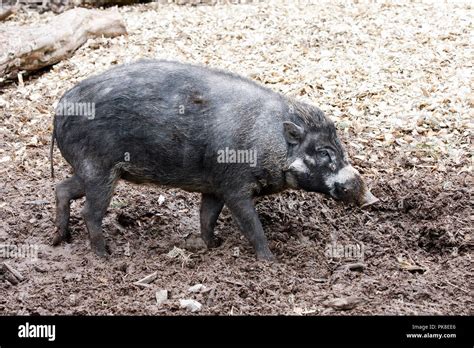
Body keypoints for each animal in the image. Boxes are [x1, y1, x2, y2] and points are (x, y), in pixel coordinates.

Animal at [51, 60, 378, 260]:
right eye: (323, 152)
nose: (367, 195)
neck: (266, 140)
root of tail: (59, 109)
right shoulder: (234, 186)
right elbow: (251, 224)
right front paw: (269, 260)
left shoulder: (214, 186)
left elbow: (206, 217)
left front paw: (213, 246)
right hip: (99, 170)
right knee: (90, 212)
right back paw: (105, 255)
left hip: (91, 171)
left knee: (61, 189)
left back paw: (60, 239)